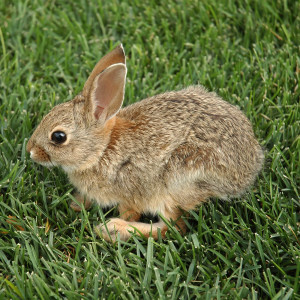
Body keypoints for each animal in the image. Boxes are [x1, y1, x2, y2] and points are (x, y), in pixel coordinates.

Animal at [27, 44, 264, 241]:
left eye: (58, 137)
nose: (30, 151)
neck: (101, 150)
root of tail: (249, 169)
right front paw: (77, 203)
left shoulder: (131, 193)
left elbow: (132, 212)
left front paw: (117, 224)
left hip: (178, 178)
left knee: (173, 227)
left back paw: (113, 230)